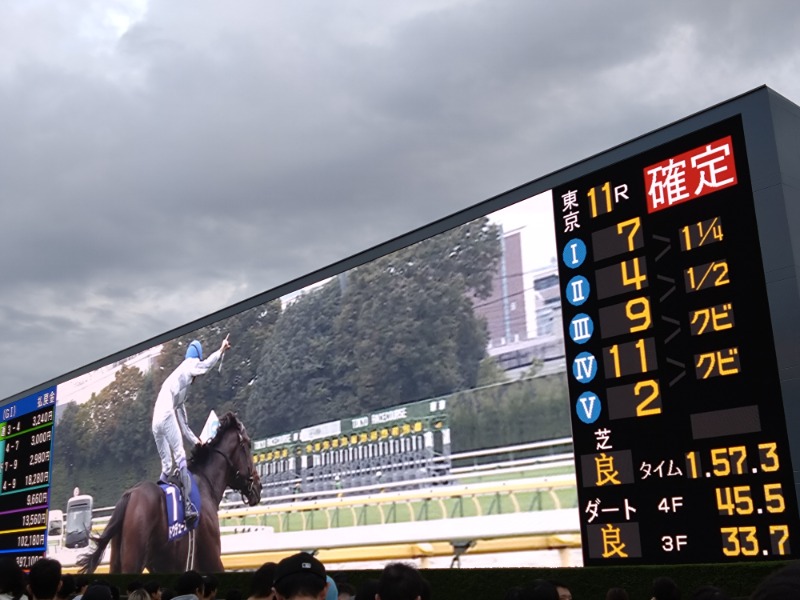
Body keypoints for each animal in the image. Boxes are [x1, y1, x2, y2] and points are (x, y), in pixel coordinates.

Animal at [77, 410, 260, 576]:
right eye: (249, 444)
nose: (258, 486)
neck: (206, 482)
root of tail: (130, 495)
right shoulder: (211, 559)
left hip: (117, 560)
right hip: (133, 560)